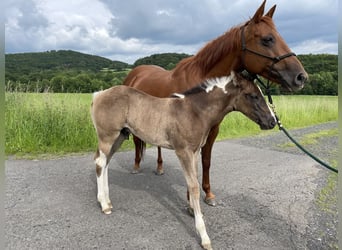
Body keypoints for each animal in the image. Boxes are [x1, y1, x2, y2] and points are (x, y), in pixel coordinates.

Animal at [91, 71, 276, 249]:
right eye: (253, 95)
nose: (272, 121)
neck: (195, 111)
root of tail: (99, 94)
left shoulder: (194, 152)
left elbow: (192, 182)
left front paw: (193, 210)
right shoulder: (183, 152)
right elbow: (194, 187)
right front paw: (204, 236)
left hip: (120, 136)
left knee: (105, 163)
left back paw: (108, 201)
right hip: (108, 136)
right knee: (100, 163)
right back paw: (104, 205)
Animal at [122, 0, 308, 206]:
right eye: (268, 39)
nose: (301, 77)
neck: (201, 80)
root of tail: (135, 73)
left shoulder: (213, 129)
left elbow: (206, 160)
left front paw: (208, 194)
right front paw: (191, 200)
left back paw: (160, 167)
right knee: (138, 141)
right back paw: (136, 166)